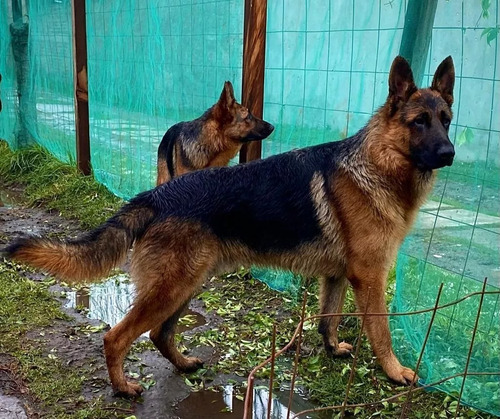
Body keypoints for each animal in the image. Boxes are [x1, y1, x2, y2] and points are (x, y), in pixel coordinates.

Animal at [4, 56, 458, 398]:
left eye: (446, 120)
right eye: (419, 122)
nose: (449, 153)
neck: (379, 163)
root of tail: (158, 196)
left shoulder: (338, 276)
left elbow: (327, 319)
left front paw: (332, 350)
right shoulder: (370, 277)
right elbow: (380, 330)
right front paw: (395, 372)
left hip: (186, 284)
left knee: (159, 335)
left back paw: (184, 364)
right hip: (172, 287)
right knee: (116, 337)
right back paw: (123, 387)